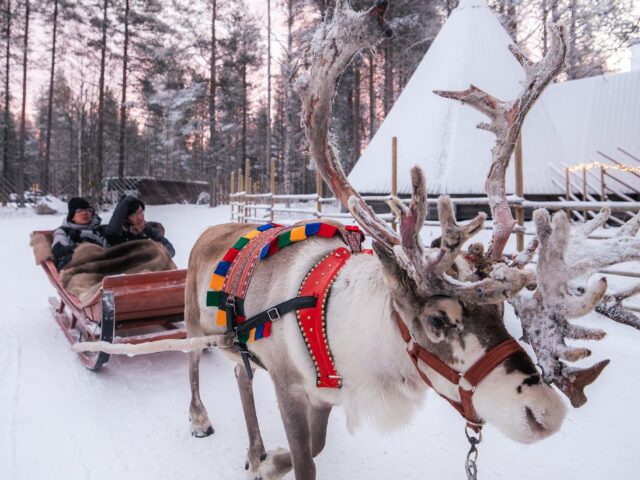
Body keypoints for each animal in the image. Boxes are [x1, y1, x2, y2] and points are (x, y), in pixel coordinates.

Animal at [181, 2, 640, 479]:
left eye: (500, 312)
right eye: (438, 320)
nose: (545, 412)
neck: (346, 336)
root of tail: (208, 232)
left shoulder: (324, 396)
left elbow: (318, 446)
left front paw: (270, 460)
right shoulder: (288, 382)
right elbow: (307, 460)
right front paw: (275, 461)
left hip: (234, 348)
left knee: (240, 375)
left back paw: (254, 451)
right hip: (193, 321)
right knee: (192, 363)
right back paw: (199, 419)